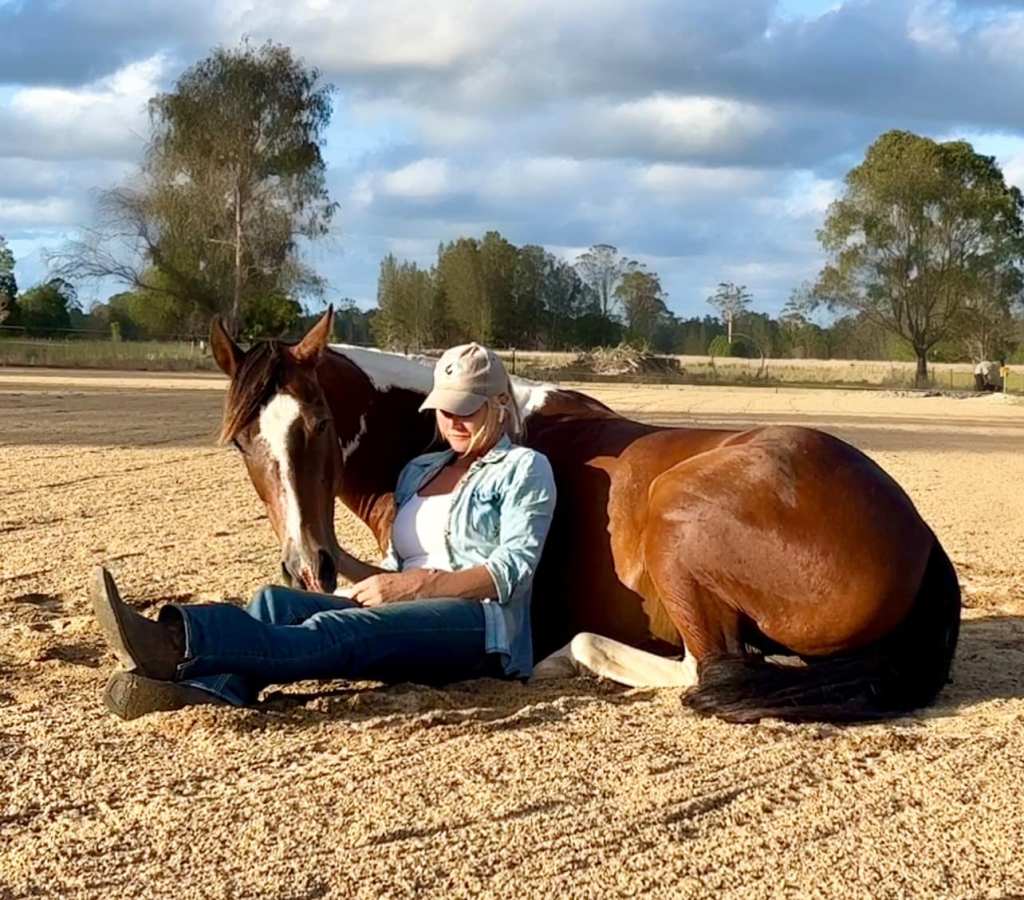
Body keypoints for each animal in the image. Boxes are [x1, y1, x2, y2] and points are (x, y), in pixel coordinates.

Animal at [208, 309, 961, 723]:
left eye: (320, 424)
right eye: (243, 440)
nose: (308, 563)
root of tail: (917, 536)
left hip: (676, 521)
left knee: (708, 671)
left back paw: (565, 659)